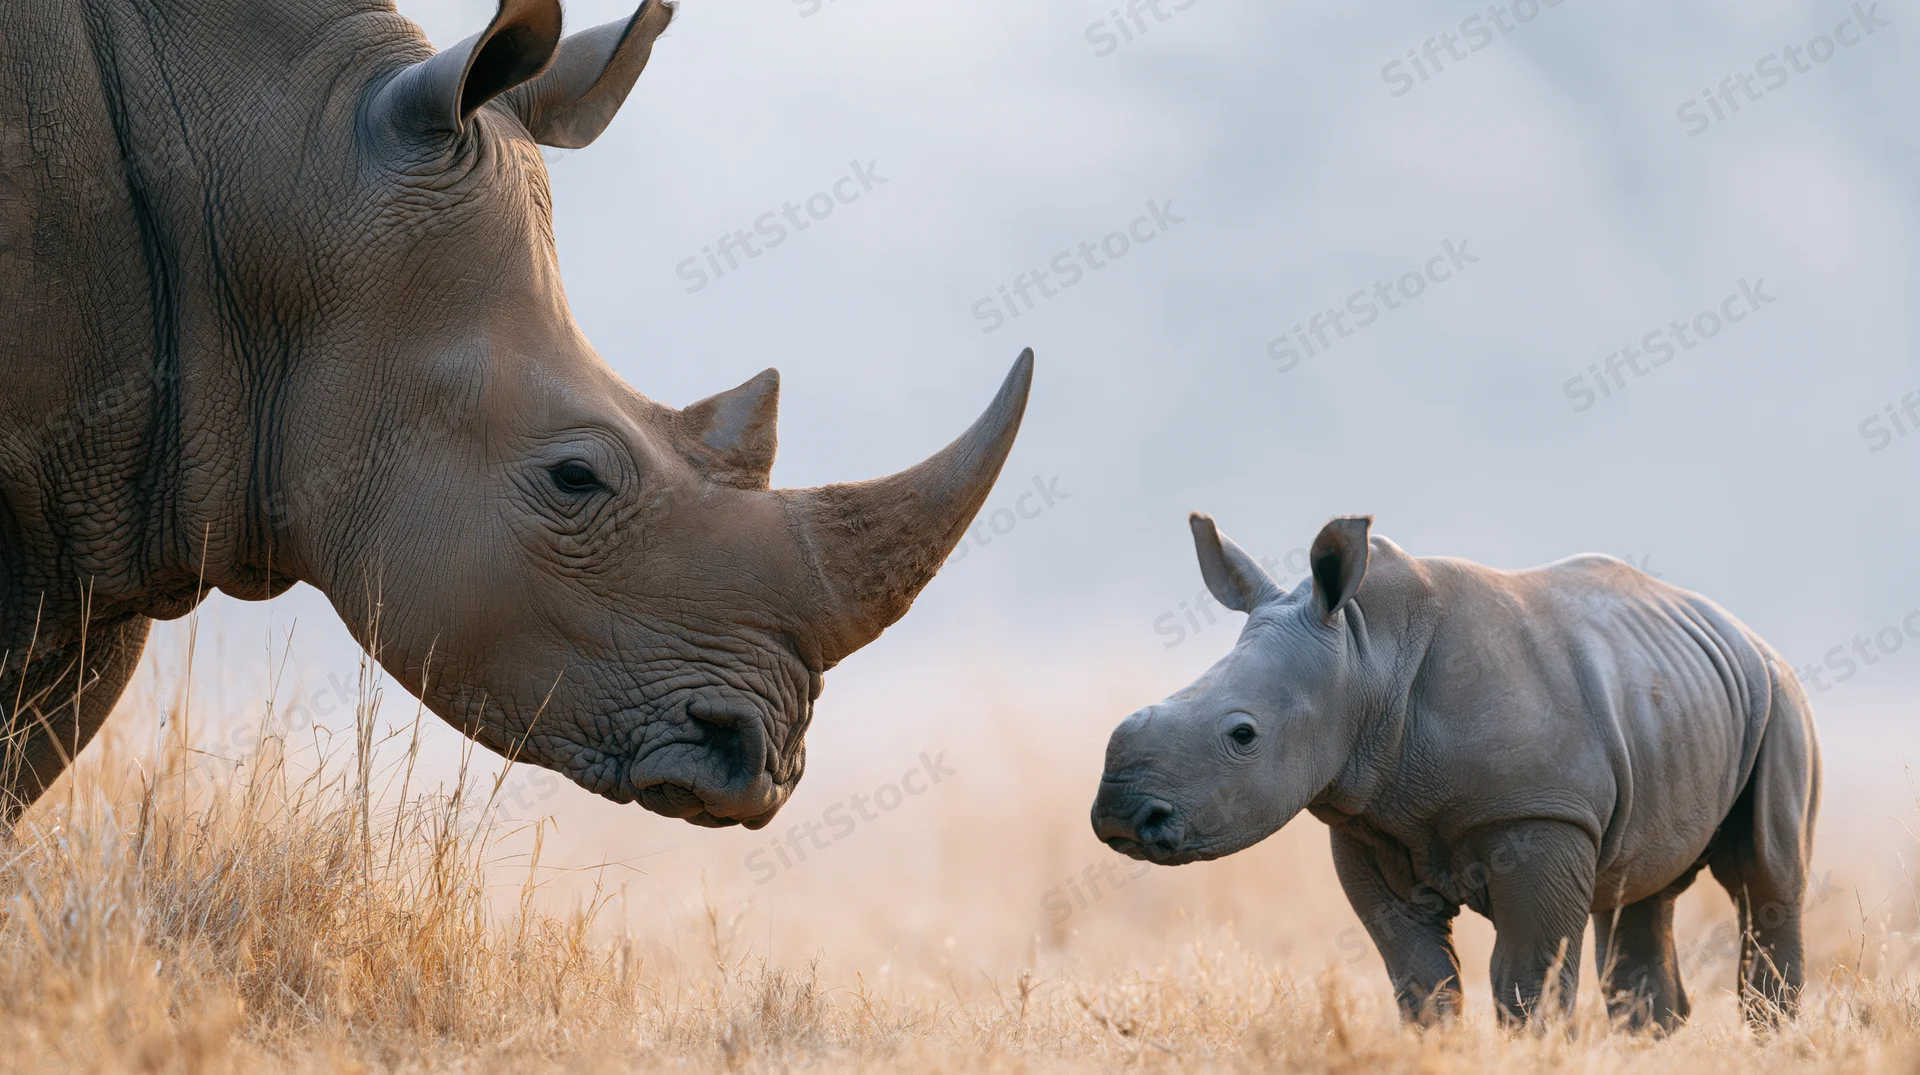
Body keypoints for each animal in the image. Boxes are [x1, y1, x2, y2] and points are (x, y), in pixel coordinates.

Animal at [1091, 514, 1820, 1030]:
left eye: (1242, 735)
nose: (1120, 816)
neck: (1364, 654)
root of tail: (1745, 632)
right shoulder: (1367, 818)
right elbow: (1420, 977)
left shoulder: (1542, 813)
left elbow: (1527, 979)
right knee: (1639, 893)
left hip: (1782, 701)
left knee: (1765, 878)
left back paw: (1770, 1035)